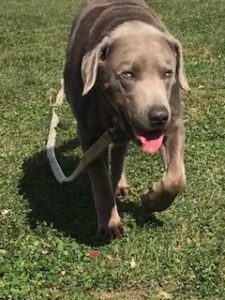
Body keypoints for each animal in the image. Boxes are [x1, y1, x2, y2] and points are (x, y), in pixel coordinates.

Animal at [63, 0, 190, 239]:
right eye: (128, 74)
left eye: (168, 73)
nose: (159, 116)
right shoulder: (88, 133)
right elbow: (100, 180)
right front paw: (110, 222)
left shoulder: (175, 121)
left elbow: (176, 178)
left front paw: (152, 200)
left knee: (119, 152)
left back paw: (120, 183)